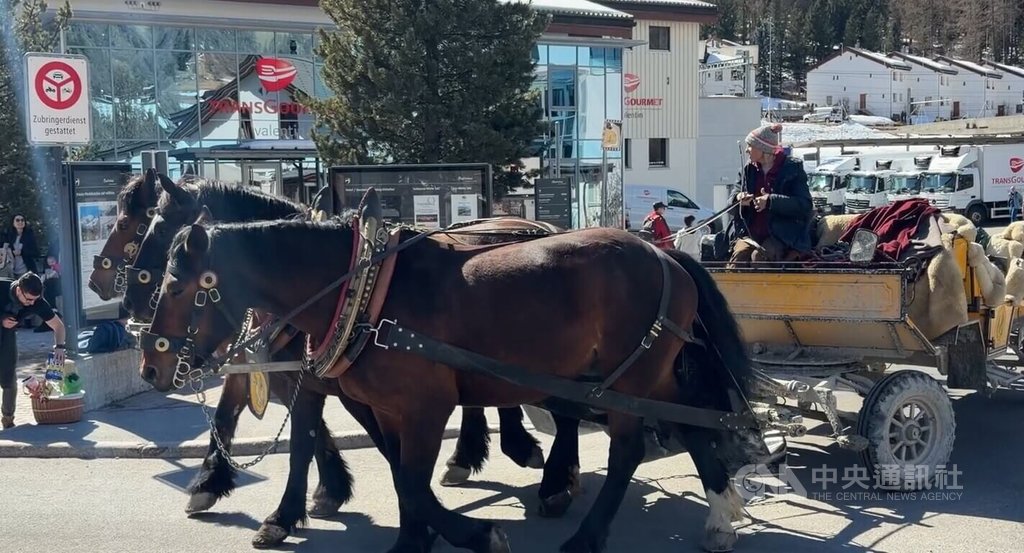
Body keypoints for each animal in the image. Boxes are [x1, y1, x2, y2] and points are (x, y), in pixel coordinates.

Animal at [140, 212, 756, 553]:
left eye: (175, 285)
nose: (150, 366)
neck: (366, 294)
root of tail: (665, 254)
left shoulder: (425, 407)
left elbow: (412, 480)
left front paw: (473, 533)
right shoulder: (380, 405)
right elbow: (391, 468)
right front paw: (413, 537)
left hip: (626, 379)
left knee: (627, 448)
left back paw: (585, 533)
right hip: (647, 376)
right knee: (692, 422)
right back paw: (720, 512)